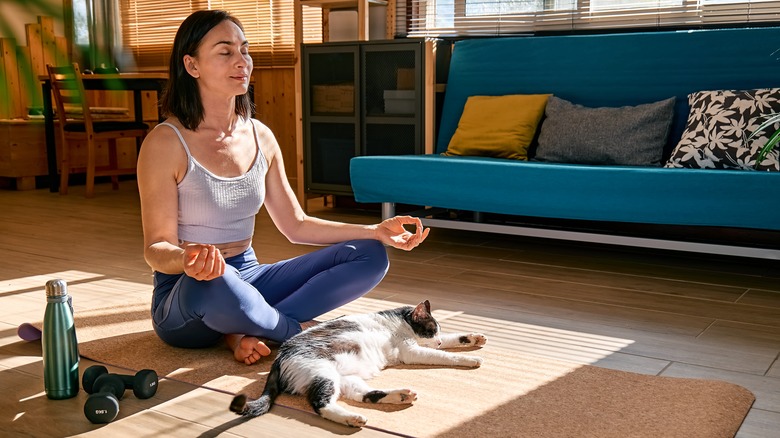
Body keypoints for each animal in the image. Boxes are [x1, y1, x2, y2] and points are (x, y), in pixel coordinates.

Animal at [229, 300, 488, 426]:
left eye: (438, 331)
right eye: (431, 329)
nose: (437, 340)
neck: (398, 322)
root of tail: (279, 357)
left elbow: (454, 339)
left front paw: (473, 338)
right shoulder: (412, 351)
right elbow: (444, 356)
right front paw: (470, 359)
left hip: (346, 379)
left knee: (364, 395)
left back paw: (400, 396)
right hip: (323, 374)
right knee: (320, 404)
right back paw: (350, 419)